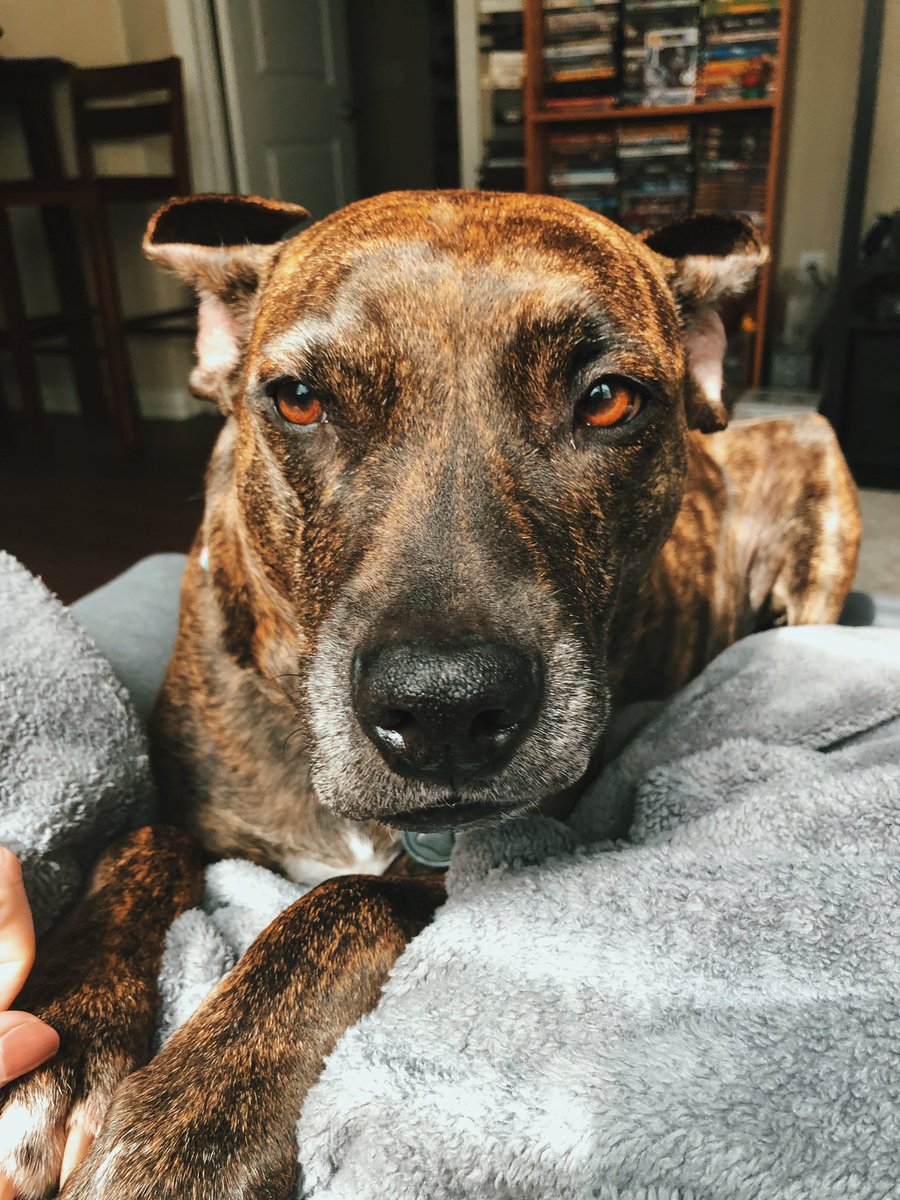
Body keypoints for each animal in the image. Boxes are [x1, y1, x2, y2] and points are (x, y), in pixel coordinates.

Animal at [0, 190, 860, 1200]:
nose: (445, 706)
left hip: (820, 475)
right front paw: (59, 1043)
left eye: (607, 399)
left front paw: (194, 1125)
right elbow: (136, 844)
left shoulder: (488, 856)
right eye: (299, 399)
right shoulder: (190, 809)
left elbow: (337, 907)